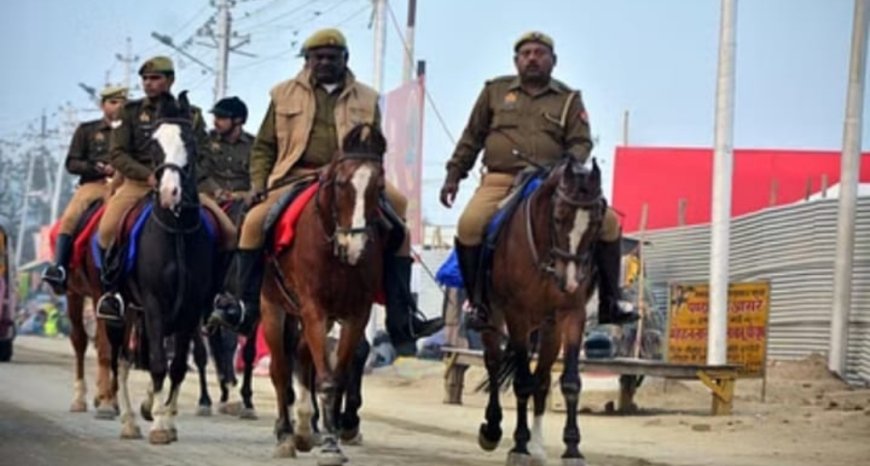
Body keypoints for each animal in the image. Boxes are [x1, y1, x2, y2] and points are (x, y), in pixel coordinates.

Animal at [260, 123, 386, 462]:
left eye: (379, 186)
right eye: (341, 183)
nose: (354, 246)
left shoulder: (355, 314)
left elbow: (335, 376)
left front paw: (331, 437)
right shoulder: (313, 309)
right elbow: (326, 380)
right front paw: (328, 445)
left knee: (303, 358)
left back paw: (305, 429)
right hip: (273, 306)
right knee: (280, 370)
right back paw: (285, 434)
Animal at [480, 157, 604, 466]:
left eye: (596, 223)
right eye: (558, 218)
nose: (570, 281)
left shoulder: (572, 314)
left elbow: (569, 382)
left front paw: (572, 448)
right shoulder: (517, 316)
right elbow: (522, 382)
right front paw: (519, 445)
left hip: (550, 329)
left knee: (543, 378)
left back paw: (537, 445)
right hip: (494, 317)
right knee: (494, 362)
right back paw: (493, 428)